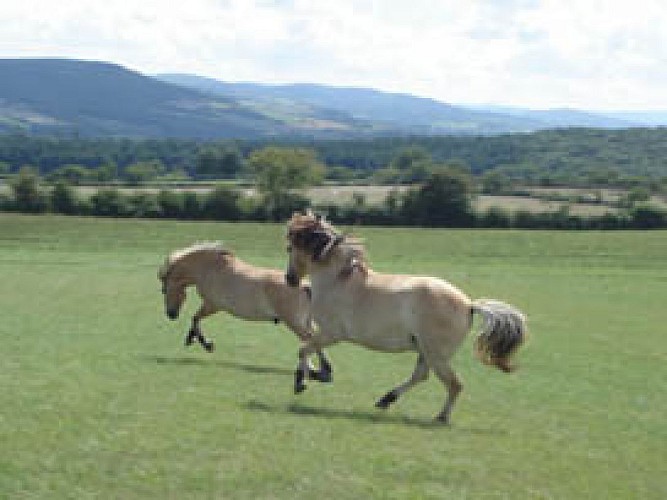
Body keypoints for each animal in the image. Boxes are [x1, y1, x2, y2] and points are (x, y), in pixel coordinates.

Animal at [158, 241, 331, 379]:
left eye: (164, 290)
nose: (171, 314)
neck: (209, 268)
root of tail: (305, 286)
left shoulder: (213, 305)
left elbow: (195, 318)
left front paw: (205, 344)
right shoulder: (211, 306)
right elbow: (195, 320)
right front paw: (193, 339)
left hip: (294, 323)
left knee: (311, 340)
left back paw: (323, 372)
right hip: (304, 322)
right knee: (310, 341)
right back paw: (314, 370)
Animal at [284, 213, 527, 424]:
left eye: (289, 247)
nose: (290, 279)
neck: (337, 280)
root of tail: (469, 305)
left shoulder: (332, 333)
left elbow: (303, 349)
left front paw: (302, 382)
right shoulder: (324, 333)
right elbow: (308, 348)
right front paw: (320, 373)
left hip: (435, 354)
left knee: (454, 384)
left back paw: (440, 417)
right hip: (425, 351)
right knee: (421, 376)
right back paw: (386, 399)